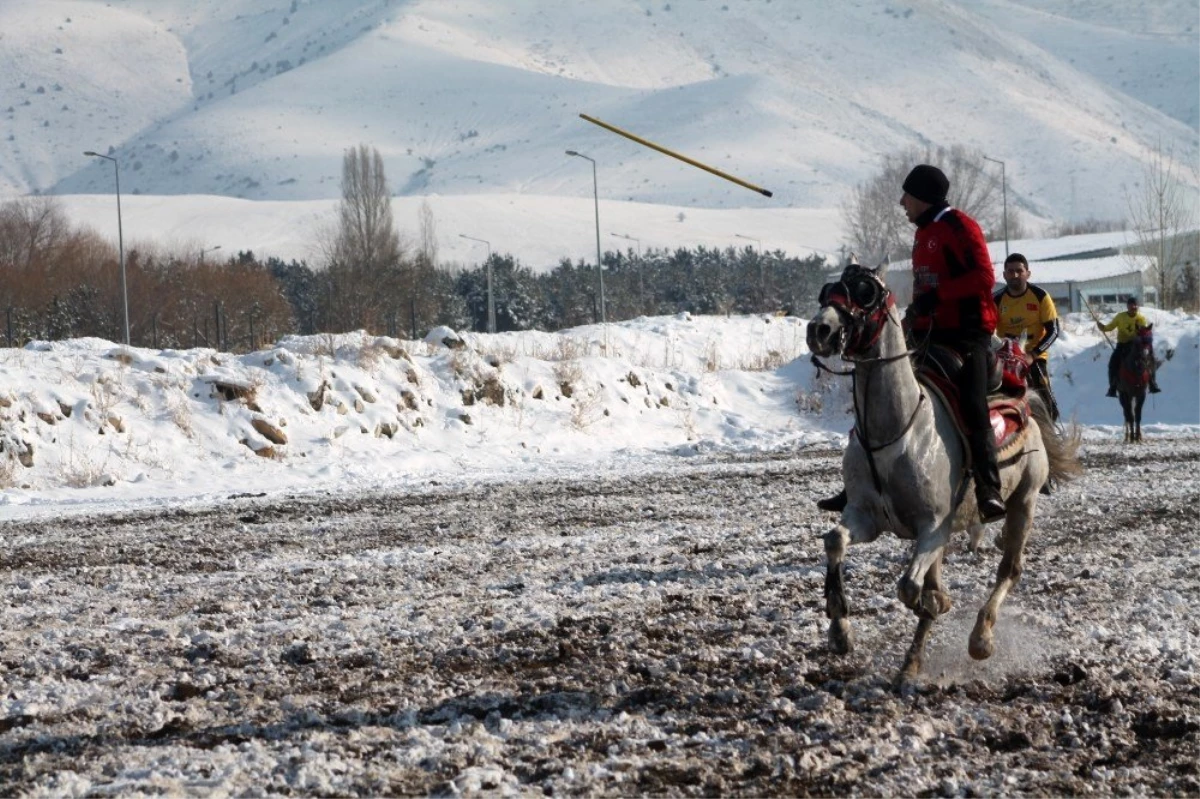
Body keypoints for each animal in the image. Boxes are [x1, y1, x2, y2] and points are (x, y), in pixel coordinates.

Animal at [806, 262, 1080, 686]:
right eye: (826, 292)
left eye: (866, 292)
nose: (819, 331)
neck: (897, 431)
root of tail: (1024, 396)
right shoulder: (866, 517)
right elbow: (835, 541)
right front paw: (840, 632)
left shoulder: (933, 527)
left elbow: (909, 588)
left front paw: (934, 606)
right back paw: (911, 662)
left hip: (1024, 502)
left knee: (1010, 569)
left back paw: (980, 638)